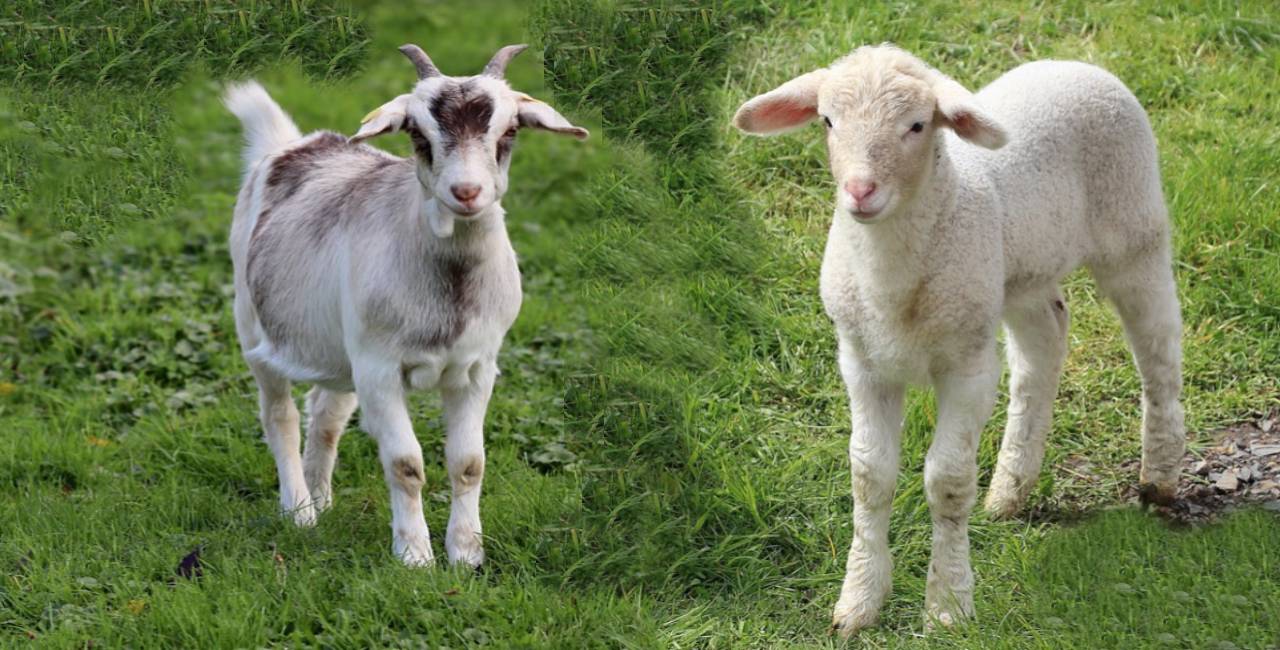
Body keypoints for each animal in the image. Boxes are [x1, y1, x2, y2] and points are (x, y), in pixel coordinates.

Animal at [223, 43, 588, 568]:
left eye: (509, 130)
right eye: (417, 133)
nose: (467, 192)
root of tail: (289, 145)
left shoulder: (477, 368)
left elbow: (469, 463)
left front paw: (466, 553)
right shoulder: (380, 367)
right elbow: (405, 463)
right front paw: (415, 556)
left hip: (341, 351)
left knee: (327, 415)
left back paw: (322, 499)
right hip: (254, 326)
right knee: (280, 415)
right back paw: (299, 511)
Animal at [732, 45, 1184, 634]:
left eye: (917, 125)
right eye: (828, 121)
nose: (860, 192)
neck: (891, 285)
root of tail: (1075, 63)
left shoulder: (967, 367)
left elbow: (946, 480)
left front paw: (948, 604)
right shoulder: (861, 361)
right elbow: (869, 476)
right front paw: (859, 600)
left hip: (1134, 231)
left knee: (1159, 348)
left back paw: (1160, 475)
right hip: (1015, 275)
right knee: (1045, 342)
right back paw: (1010, 488)